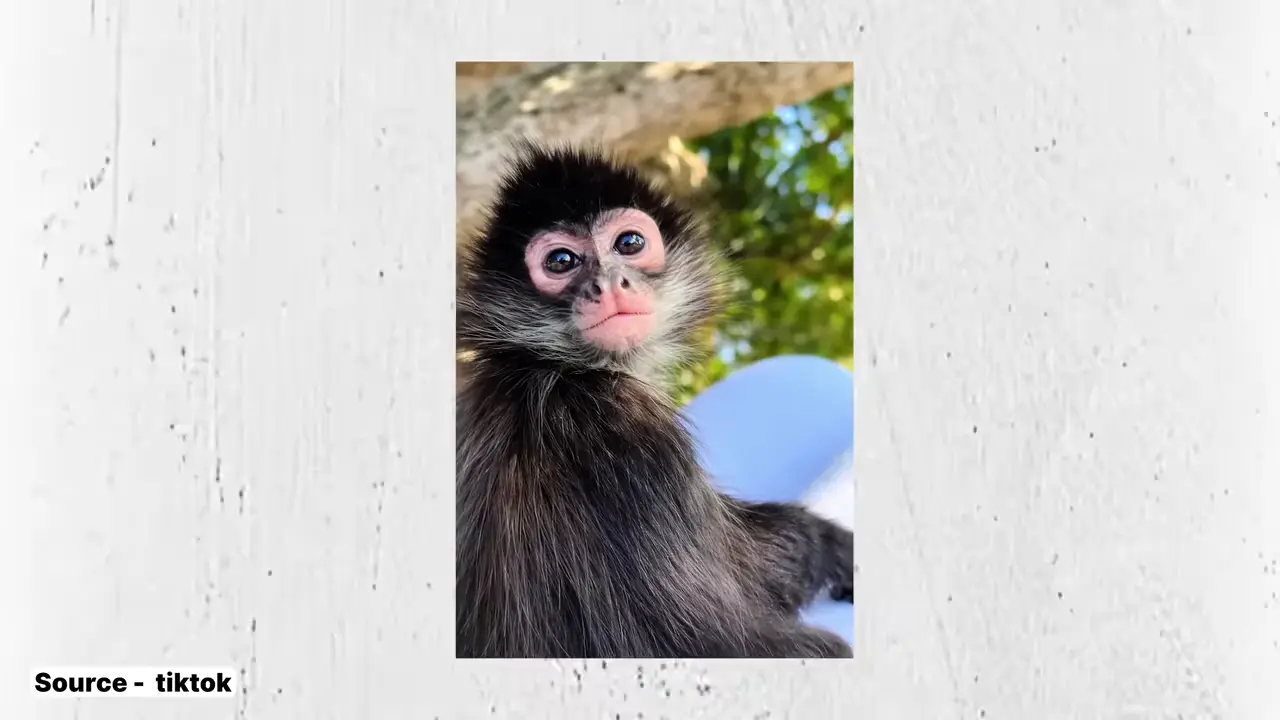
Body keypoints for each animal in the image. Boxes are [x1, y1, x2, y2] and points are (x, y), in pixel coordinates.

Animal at [455, 141, 854, 659]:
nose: (609, 284)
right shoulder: (625, 425)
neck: (547, 369)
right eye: (561, 262)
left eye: (629, 244)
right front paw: (828, 543)